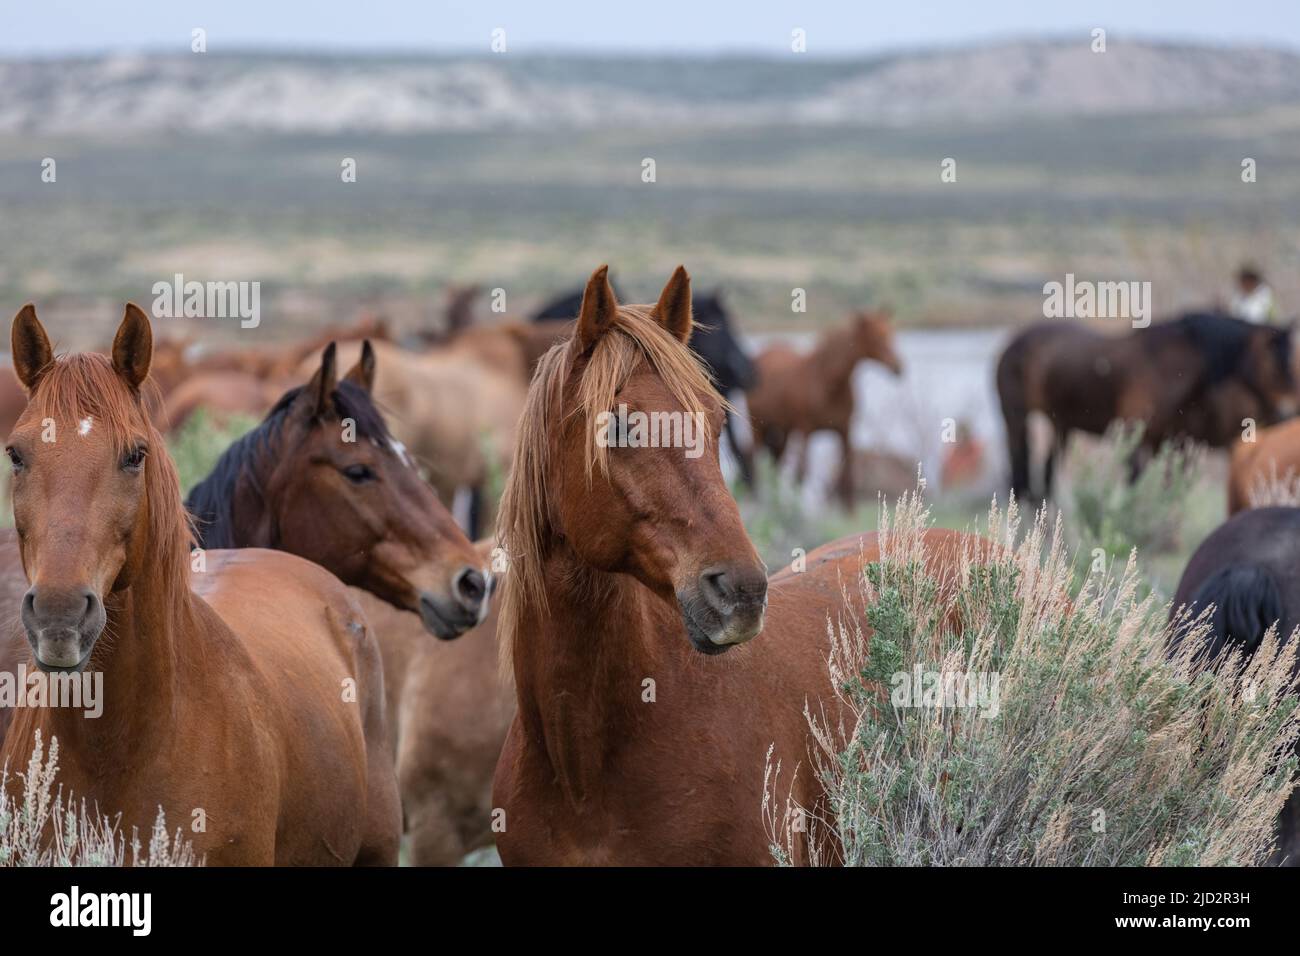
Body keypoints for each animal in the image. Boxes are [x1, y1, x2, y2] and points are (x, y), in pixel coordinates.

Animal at [746, 308, 903, 508]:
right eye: (877, 337)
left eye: (892, 332)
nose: (899, 366)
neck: (828, 383)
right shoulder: (806, 430)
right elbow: (802, 474)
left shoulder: (845, 431)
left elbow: (847, 479)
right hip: (758, 429)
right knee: (755, 462)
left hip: (782, 432)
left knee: (776, 466)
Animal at [996, 312, 1297, 501]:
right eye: (1274, 367)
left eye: (1290, 365)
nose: (1288, 412)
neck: (1168, 369)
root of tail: (1012, 343)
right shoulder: (1136, 437)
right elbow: (1136, 484)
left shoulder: (1174, 442)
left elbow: (1167, 488)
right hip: (1016, 419)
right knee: (1019, 467)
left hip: (1062, 425)